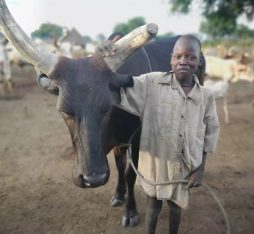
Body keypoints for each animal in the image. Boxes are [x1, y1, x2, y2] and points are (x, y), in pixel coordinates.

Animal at [0, 0, 206, 230]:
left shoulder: (137, 141)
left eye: (107, 108)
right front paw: (118, 195)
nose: (94, 178)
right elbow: (120, 167)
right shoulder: (118, 145)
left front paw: (131, 212)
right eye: (64, 112)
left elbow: (130, 174)